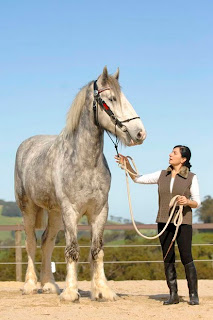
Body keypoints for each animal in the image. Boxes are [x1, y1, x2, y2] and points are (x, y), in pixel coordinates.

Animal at [15, 66, 146, 302]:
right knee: (31, 242)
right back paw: (30, 285)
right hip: (28, 208)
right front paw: (70, 292)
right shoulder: (71, 211)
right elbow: (72, 250)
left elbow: (97, 250)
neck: (85, 162)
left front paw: (102, 290)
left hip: (54, 212)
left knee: (47, 241)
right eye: (111, 99)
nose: (140, 133)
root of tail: (27, 144)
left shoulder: (99, 211)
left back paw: (49, 285)